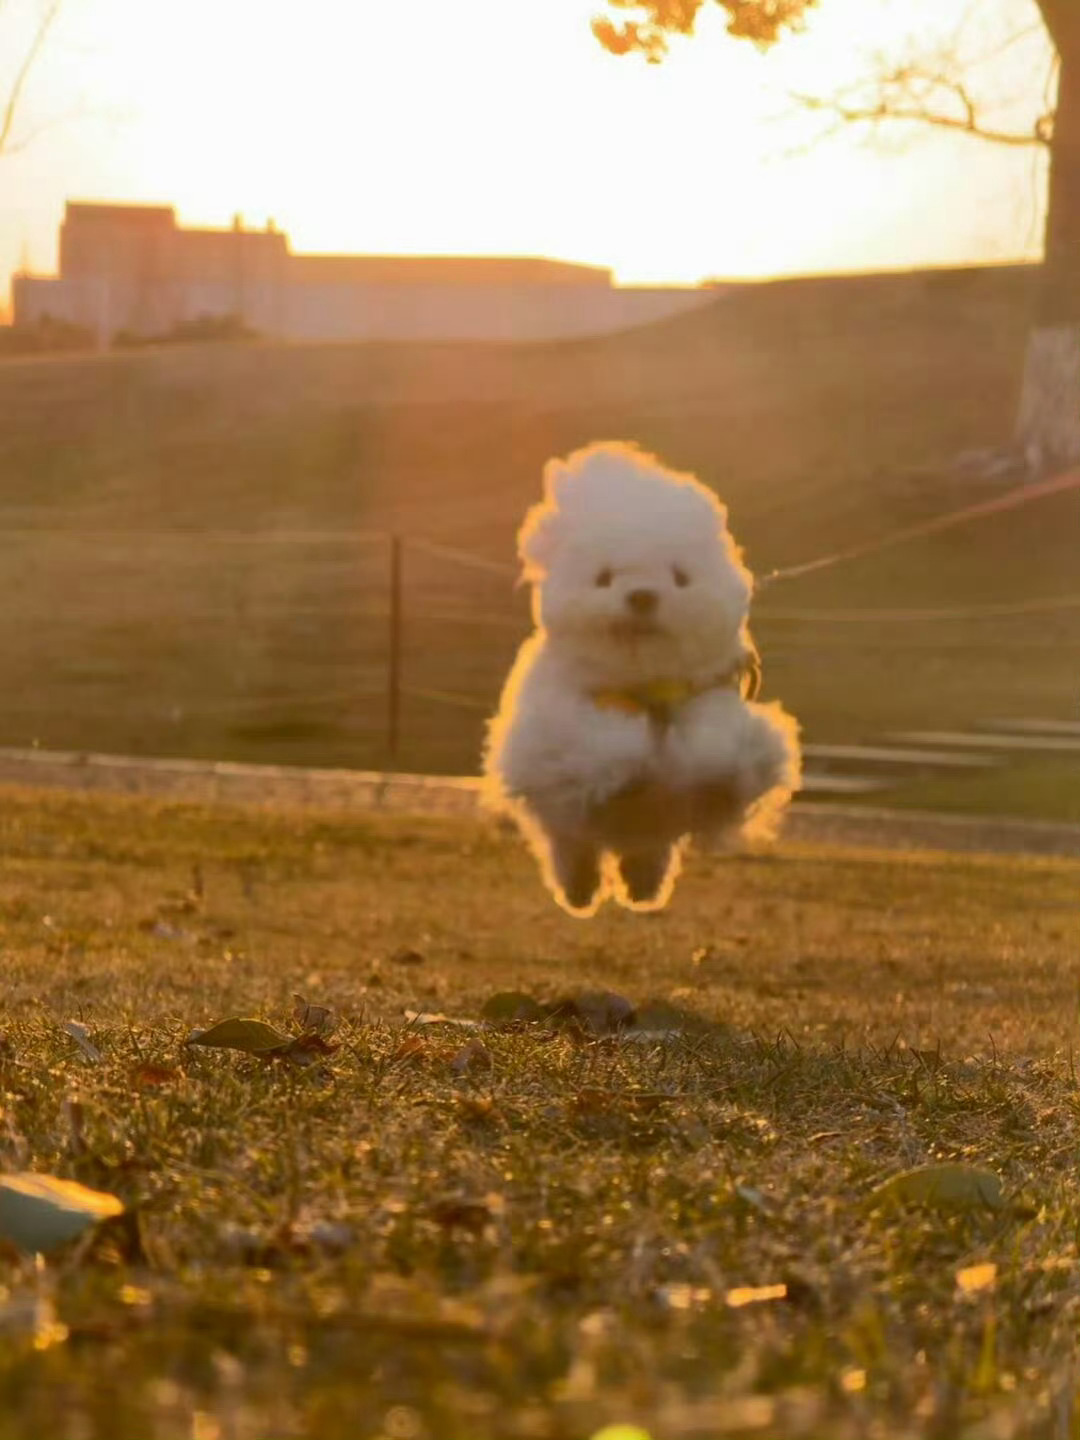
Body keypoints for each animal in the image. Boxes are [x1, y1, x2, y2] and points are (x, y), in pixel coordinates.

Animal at [486, 440, 800, 910]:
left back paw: (642, 887)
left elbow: (721, 749)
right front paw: (629, 760)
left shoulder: (709, 700)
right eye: (603, 578)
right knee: (573, 849)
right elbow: (597, 745)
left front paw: (707, 767)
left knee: (647, 853)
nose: (642, 596)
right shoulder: (555, 733)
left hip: (649, 840)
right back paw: (580, 891)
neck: (646, 684)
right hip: (570, 829)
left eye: (680, 578)